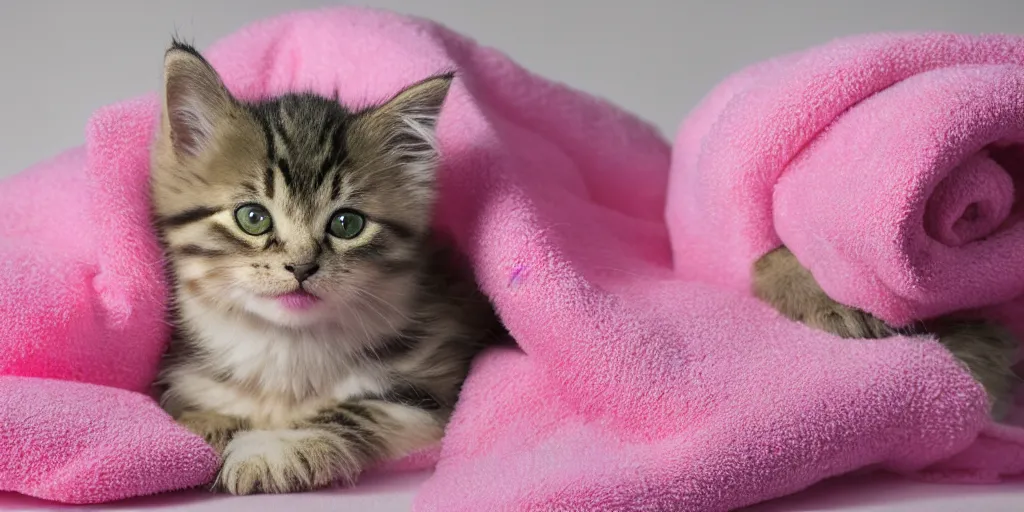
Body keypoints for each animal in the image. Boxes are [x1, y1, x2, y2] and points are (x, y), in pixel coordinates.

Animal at [149, 41, 497, 493]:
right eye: (252, 218)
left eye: (347, 224)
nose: (301, 267)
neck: (285, 350)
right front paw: (211, 425)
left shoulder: (430, 390)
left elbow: (358, 409)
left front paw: (272, 449)